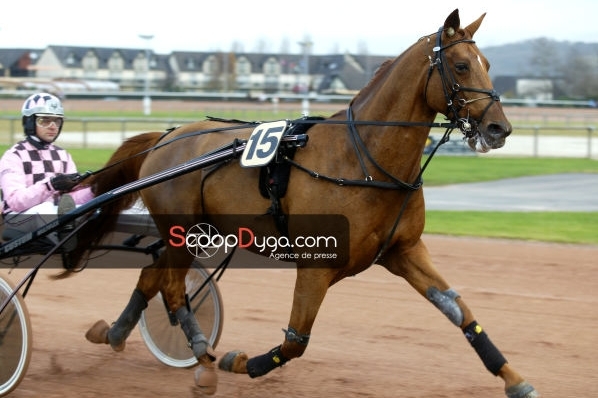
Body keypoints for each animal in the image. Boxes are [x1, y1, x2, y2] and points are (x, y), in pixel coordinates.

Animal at [78, 8, 540, 398]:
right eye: (461, 66)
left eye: (487, 64)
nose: (499, 128)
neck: (363, 159)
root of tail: (165, 136)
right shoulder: (317, 265)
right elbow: (295, 341)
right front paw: (239, 361)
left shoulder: (404, 250)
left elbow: (460, 311)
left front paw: (515, 379)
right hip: (181, 230)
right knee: (173, 289)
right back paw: (204, 358)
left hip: (190, 234)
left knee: (153, 275)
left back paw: (116, 333)